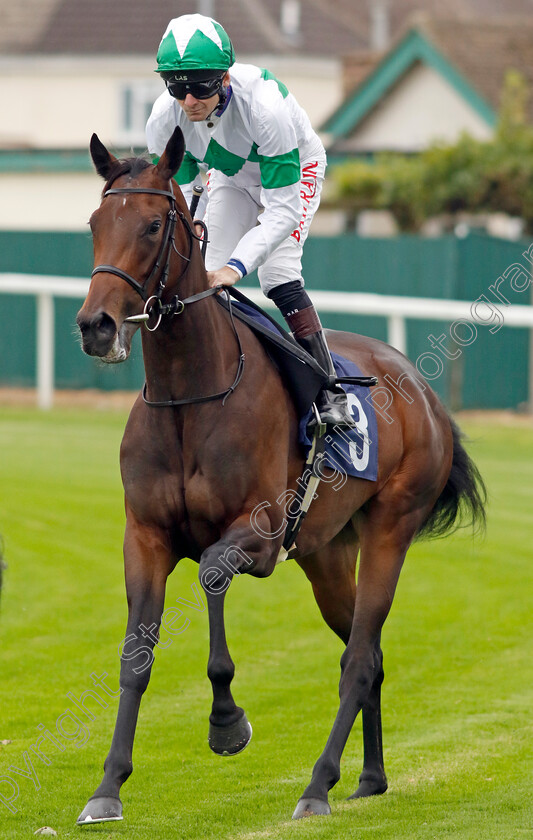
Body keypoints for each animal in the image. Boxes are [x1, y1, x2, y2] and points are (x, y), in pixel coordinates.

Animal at [75, 128, 486, 824]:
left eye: (155, 225)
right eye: (95, 224)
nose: (95, 325)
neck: (192, 399)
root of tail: (423, 391)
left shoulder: (260, 536)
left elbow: (212, 573)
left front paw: (226, 722)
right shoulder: (146, 536)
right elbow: (136, 656)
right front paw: (107, 787)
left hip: (391, 528)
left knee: (358, 657)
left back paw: (318, 785)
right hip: (327, 555)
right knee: (369, 654)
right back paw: (369, 776)